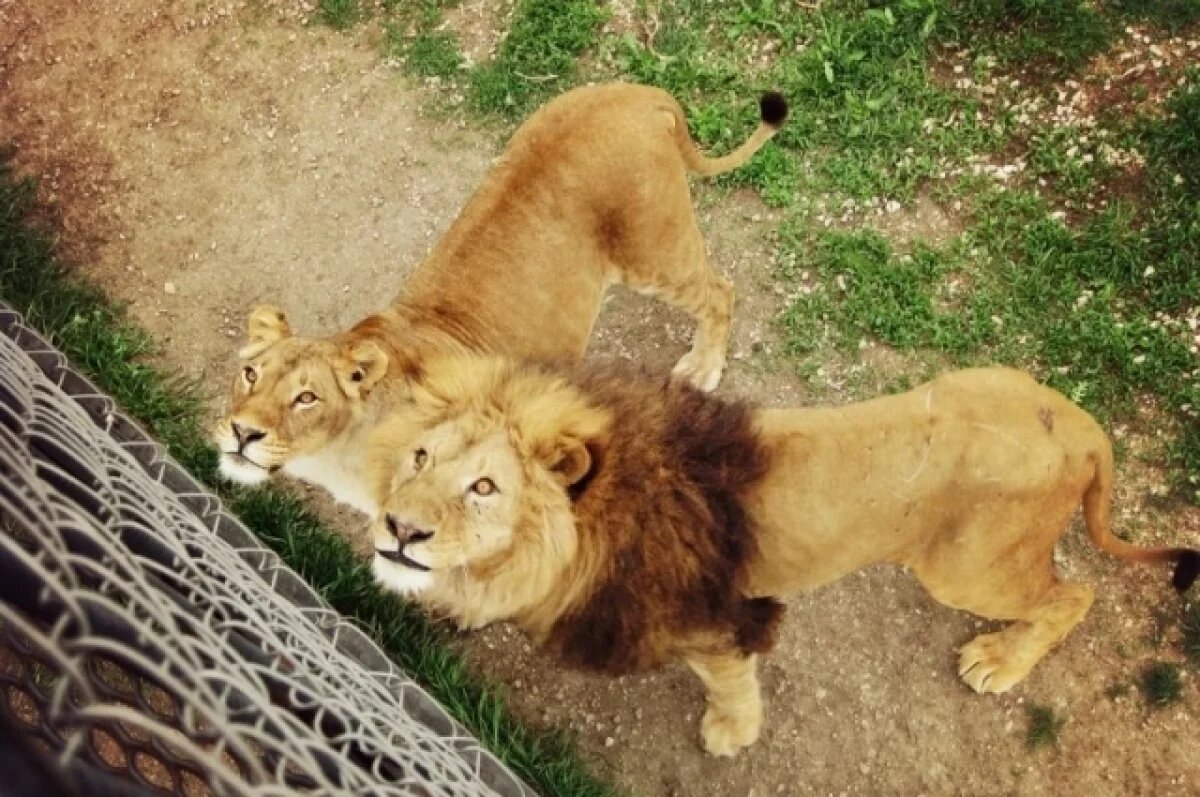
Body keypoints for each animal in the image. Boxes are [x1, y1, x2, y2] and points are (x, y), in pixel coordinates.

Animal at [211, 83, 788, 512]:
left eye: (307, 397)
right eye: (249, 375)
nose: (242, 432)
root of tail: (639, 93)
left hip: (653, 249)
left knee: (720, 291)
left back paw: (702, 367)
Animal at [362, 354, 1200, 757]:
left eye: (483, 486)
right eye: (418, 457)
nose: (399, 528)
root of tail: (1085, 429)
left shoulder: (715, 621)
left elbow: (732, 683)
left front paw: (729, 733)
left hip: (964, 568)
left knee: (1073, 594)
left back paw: (1002, 659)